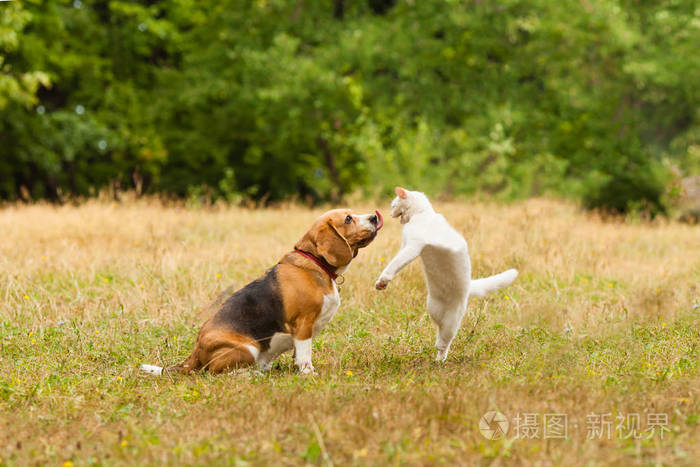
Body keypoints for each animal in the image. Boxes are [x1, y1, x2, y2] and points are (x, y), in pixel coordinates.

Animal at [142, 208, 382, 376]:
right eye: (348, 219)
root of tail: (196, 351)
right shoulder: (304, 324)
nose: (373, 217)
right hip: (248, 348)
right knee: (215, 372)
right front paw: (308, 373)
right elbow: (305, 354)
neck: (315, 263)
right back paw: (249, 374)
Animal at [374, 188, 516, 364]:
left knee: (445, 341)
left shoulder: (413, 247)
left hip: (452, 320)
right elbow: (396, 261)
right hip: (433, 309)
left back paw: (439, 360)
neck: (421, 214)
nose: (389, 213)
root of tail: (468, 287)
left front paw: (382, 281)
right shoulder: (405, 245)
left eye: (393, 205)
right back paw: (437, 358)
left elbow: (394, 264)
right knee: (440, 334)